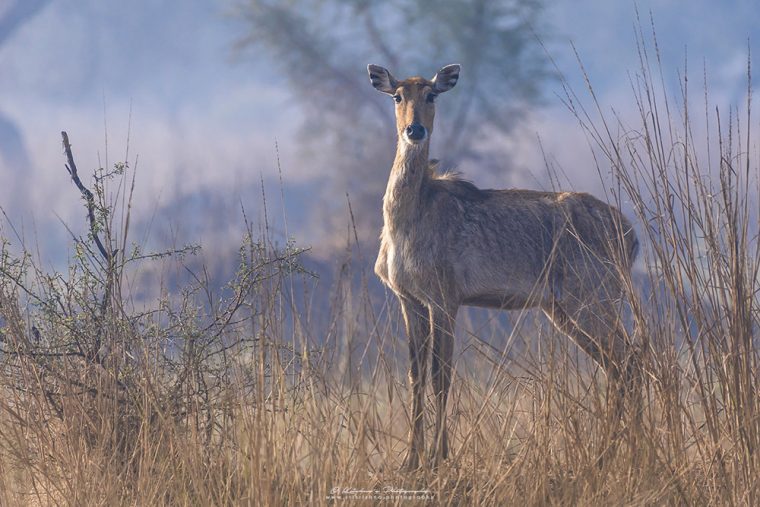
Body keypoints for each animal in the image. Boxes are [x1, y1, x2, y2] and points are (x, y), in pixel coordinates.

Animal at [367, 63, 639, 471]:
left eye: (432, 94)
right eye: (398, 96)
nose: (414, 130)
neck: (408, 217)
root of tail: (631, 235)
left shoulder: (444, 299)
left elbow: (441, 376)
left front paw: (439, 458)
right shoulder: (409, 300)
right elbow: (416, 375)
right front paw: (411, 461)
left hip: (593, 301)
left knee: (630, 359)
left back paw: (615, 455)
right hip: (564, 310)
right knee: (617, 365)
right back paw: (613, 454)